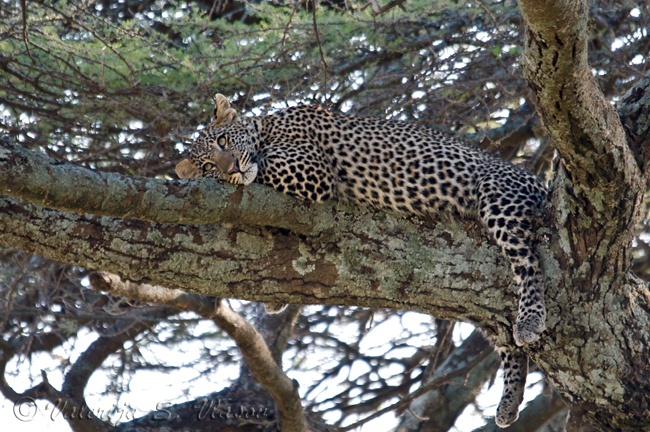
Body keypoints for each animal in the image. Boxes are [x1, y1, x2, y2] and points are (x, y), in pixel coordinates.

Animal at [175, 93, 544, 426]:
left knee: (529, 263)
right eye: (208, 166)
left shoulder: (311, 169)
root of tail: (537, 180)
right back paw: (510, 401)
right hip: (479, 306)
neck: (267, 127)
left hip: (498, 195)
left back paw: (530, 320)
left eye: (223, 140)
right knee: (500, 332)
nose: (232, 168)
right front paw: (275, 303)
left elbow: (264, 171)